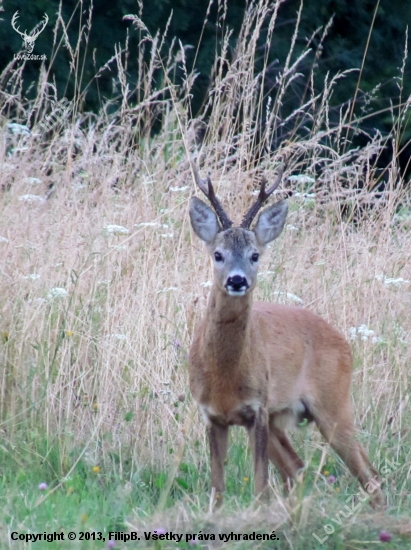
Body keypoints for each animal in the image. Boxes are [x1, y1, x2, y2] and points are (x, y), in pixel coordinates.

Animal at [188, 163, 384, 508]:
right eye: (218, 254)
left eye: (255, 255)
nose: (237, 280)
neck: (224, 375)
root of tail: (344, 341)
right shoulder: (212, 415)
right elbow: (217, 489)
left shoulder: (257, 409)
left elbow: (260, 487)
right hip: (282, 416)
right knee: (298, 469)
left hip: (334, 404)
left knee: (369, 474)